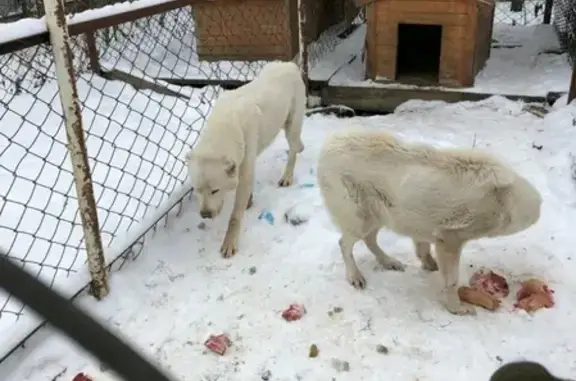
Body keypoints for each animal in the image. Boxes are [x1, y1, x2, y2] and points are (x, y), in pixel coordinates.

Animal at [184, 61, 306, 258]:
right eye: (197, 190)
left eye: (215, 190)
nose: (205, 215)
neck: (224, 126)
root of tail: (288, 64)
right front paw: (249, 200)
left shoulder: (245, 166)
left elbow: (234, 216)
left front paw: (229, 243)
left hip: (291, 126)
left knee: (293, 151)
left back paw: (287, 176)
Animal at [318, 127, 544, 314]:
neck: (504, 199)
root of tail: (327, 145)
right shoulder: (451, 239)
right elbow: (451, 280)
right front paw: (456, 308)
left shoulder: (425, 227)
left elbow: (423, 247)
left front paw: (429, 264)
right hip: (360, 219)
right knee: (344, 243)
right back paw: (355, 276)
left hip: (379, 216)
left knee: (369, 239)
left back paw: (388, 262)